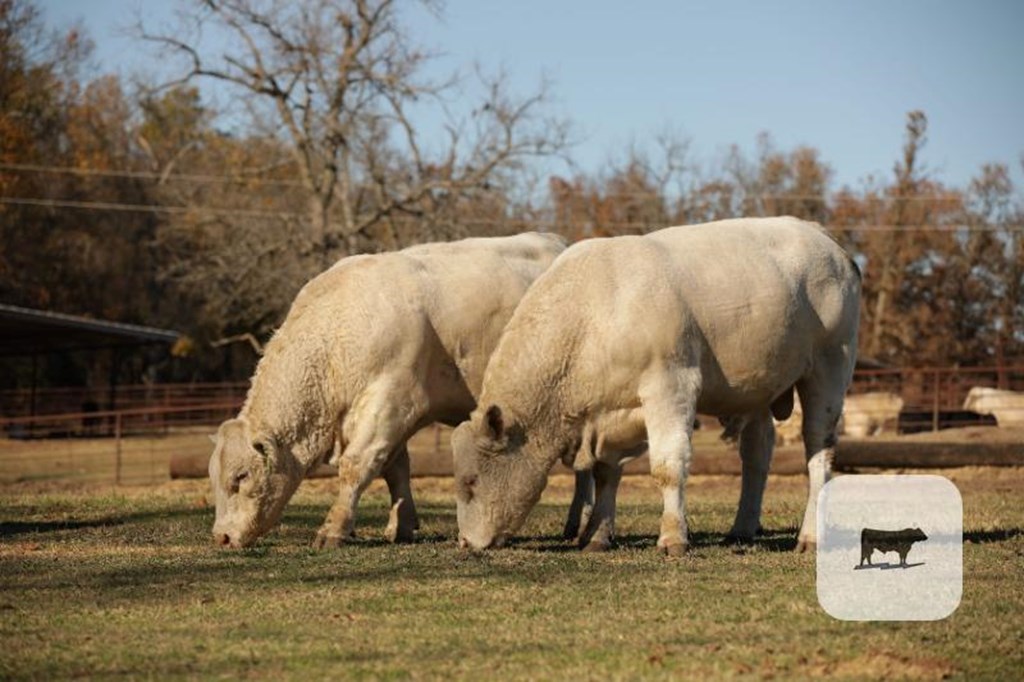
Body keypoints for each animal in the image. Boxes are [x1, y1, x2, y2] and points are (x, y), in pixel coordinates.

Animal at [202, 233, 565, 548]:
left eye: (241, 476)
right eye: (214, 478)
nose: (222, 537)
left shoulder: (391, 402)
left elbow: (357, 466)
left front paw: (333, 529)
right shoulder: (395, 416)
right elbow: (396, 468)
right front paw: (401, 525)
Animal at [452, 218, 860, 552]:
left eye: (471, 481)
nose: (466, 543)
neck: (594, 315)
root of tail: (825, 239)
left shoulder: (671, 386)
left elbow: (668, 466)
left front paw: (673, 537)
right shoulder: (608, 413)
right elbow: (605, 471)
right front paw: (597, 536)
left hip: (829, 368)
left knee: (818, 452)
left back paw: (810, 536)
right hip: (758, 388)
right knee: (757, 455)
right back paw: (741, 529)